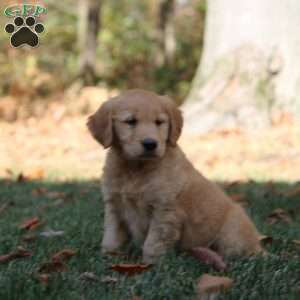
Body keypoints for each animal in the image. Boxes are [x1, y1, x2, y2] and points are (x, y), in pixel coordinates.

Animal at [86, 88, 262, 262]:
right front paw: (109, 257)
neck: (136, 169)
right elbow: (112, 237)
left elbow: (153, 243)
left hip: (232, 232)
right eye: (131, 121)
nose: (150, 144)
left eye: (159, 122)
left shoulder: (165, 211)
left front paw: (150, 264)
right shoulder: (114, 206)